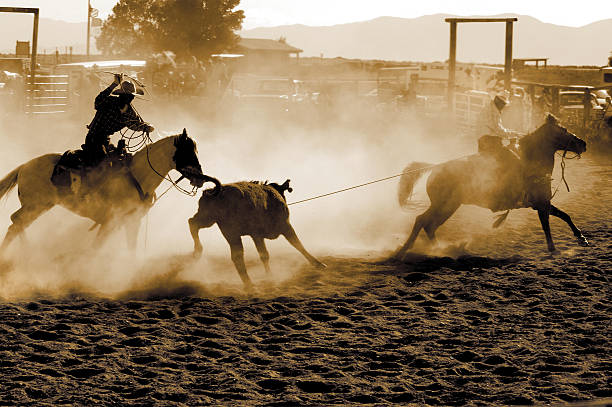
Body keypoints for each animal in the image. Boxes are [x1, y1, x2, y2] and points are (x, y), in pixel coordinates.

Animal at [0, 129, 220, 253]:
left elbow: (131, 248)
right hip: (36, 205)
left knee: (15, 224)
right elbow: (96, 248)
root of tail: (24, 166)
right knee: (15, 222)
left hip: (41, 205)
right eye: (187, 151)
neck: (138, 175)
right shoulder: (109, 222)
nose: (200, 179)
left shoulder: (132, 221)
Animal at [189, 178, 326, 286]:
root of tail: (212, 192)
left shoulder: (256, 235)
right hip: (224, 227)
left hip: (211, 221)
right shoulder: (284, 226)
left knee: (193, 223)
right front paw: (318, 264)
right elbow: (297, 244)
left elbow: (264, 254)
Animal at [396, 115, 588, 255]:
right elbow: (547, 225)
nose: (583, 143)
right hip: (444, 205)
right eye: (563, 130)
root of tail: (436, 167)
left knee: (429, 225)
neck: (530, 161)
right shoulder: (541, 204)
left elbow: (565, 215)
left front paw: (581, 237)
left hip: (448, 206)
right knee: (422, 221)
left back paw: (439, 249)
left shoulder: (542, 203)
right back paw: (408, 250)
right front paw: (553, 248)